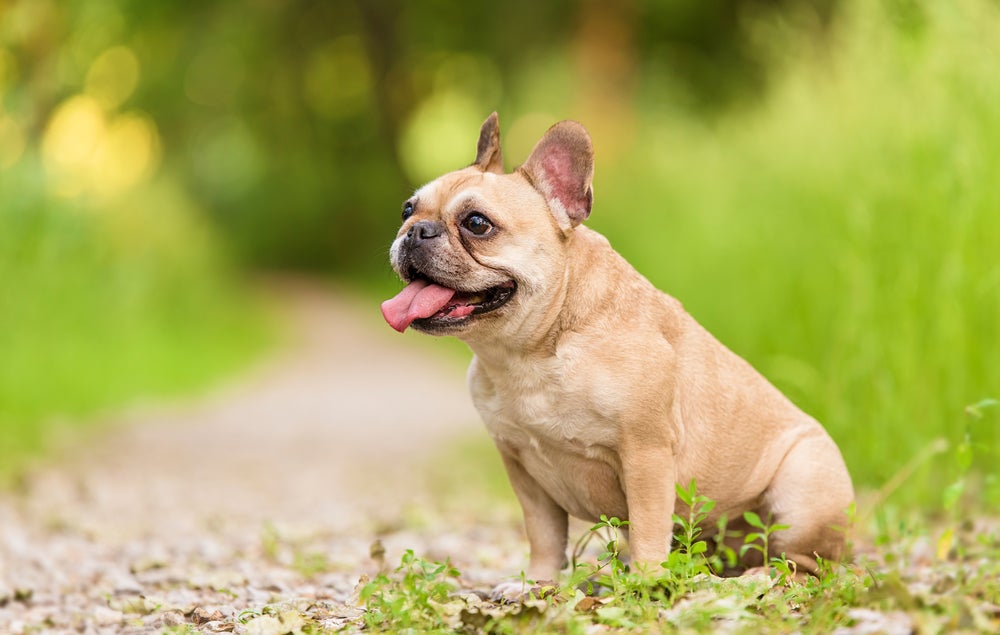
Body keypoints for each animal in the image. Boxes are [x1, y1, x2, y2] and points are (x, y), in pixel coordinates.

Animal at [380, 113, 852, 596]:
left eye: (477, 223)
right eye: (406, 210)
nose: (415, 231)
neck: (530, 353)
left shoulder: (645, 453)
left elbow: (647, 526)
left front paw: (645, 583)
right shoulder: (523, 470)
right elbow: (544, 535)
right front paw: (536, 583)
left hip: (801, 491)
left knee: (805, 564)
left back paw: (753, 579)